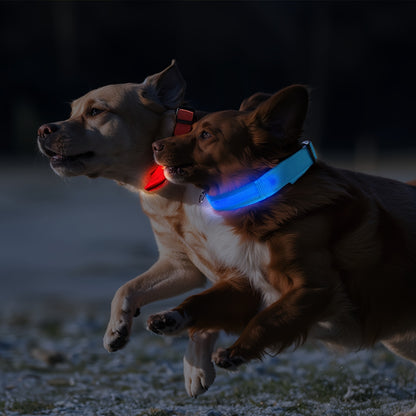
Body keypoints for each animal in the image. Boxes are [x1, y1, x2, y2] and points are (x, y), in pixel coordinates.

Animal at [151, 85, 416, 416]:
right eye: (194, 128)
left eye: (206, 134)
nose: (155, 145)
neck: (264, 196)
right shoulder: (247, 285)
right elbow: (204, 301)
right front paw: (170, 317)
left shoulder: (314, 288)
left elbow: (268, 319)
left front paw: (236, 351)